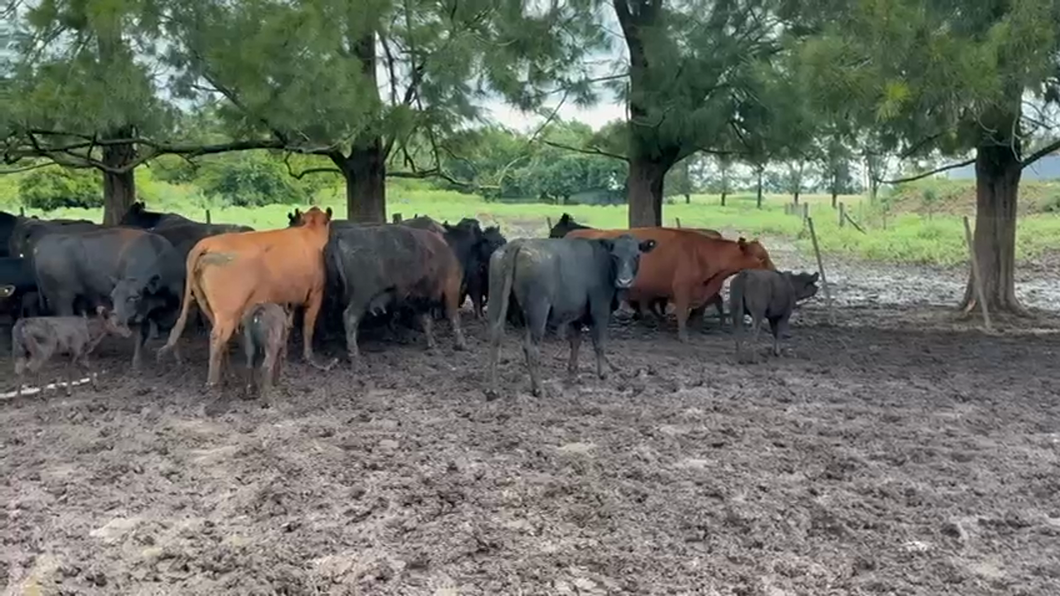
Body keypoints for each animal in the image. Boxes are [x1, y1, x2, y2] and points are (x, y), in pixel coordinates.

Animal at [32, 227, 185, 368]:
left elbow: (175, 330)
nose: (115, 319)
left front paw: (177, 359)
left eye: (134, 297)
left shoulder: (176, 305)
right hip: (63, 298)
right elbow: (142, 333)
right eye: (112, 297)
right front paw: (136, 363)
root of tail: (40, 245)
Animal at [157, 206, 336, 389]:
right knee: (216, 338)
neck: (311, 232)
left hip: (210, 307)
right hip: (228, 311)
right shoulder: (315, 294)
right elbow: (308, 328)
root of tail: (206, 243)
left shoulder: (289, 299)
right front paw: (310, 358)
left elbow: (289, 325)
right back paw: (213, 382)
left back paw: (229, 373)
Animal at [327, 223, 468, 362]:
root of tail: (343, 236)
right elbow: (453, 316)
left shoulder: (419, 299)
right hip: (363, 296)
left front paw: (432, 345)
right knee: (350, 317)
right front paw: (461, 345)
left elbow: (426, 321)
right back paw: (354, 354)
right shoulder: (451, 289)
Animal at [485, 235, 656, 399]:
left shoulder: (576, 315)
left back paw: (493, 390)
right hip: (538, 310)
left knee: (495, 339)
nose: (624, 281)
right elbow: (599, 343)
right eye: (615, 256)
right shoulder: (600, 309)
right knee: (531, 347)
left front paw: (573, 374)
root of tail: (519, 243)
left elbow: (575, 342)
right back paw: (538, 389)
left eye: (637, 255)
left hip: (498, 303)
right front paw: (603, 374)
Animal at [565, 227, 775, 342]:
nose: (775, 271)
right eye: (761, 258)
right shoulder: (682, 289)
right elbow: (681, 314)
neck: (701, 254)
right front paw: (684, 337)